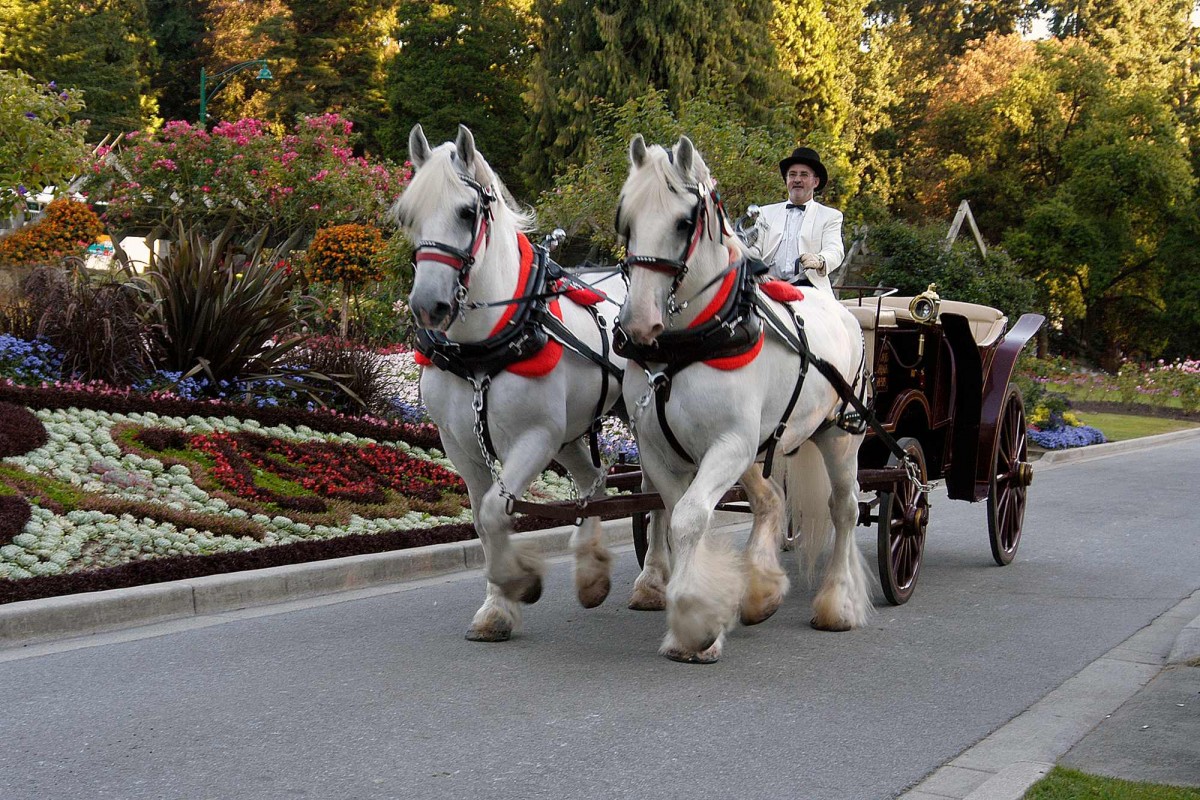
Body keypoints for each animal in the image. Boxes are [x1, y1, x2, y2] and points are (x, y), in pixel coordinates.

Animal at [393, 123, 628, 638]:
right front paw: (498, 604)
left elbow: (494, 511)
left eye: (466, 211)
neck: (481, 352)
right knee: (594, 480)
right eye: (406, 216)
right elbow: (484, 521)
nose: (428, 306)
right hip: (571, 433)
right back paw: (593, 572)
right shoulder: (460, 445)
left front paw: (519, 582)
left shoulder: (535, 438)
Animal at [619, 136, 873, 662]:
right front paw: (701, 610)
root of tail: (841, 309)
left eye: (683, 222)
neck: (689, 345)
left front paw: (696, 624)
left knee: (845, 509)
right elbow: (677, 515)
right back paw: (761, 590)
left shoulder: (729, 445)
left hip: (839, 437)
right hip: (763, 446)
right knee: (772, 502)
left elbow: (690, 518)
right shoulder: (659, 450)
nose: (636, 324)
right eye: (626, 220)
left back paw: (837, 605)